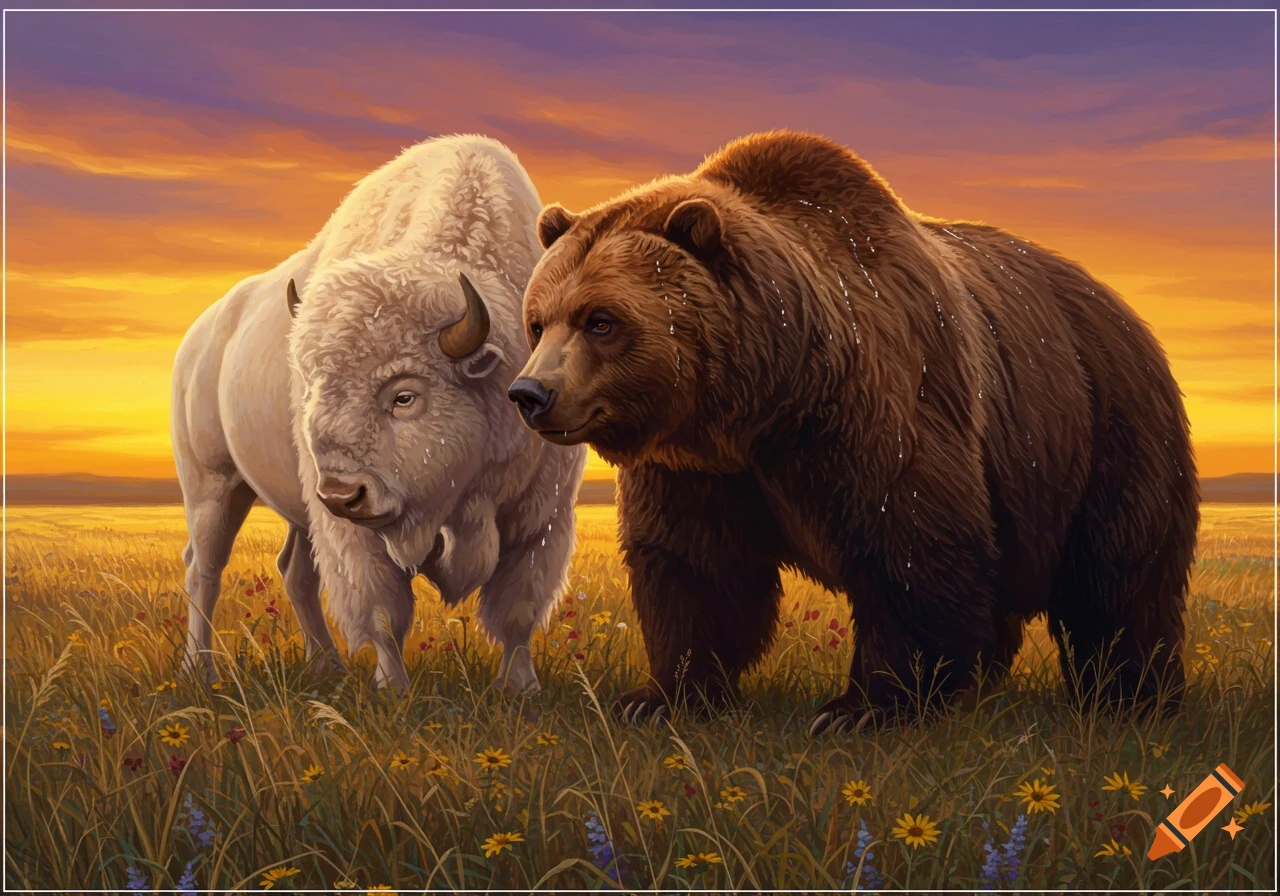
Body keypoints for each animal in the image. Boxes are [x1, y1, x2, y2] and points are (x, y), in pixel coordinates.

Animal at [508, 130, 1198, 733]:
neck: (764, 401)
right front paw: (659, 697)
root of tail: (1121, 306)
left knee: (1119, 580)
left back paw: (1129, 697)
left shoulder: (878, 405)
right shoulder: (698, 467)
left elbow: (912, 546)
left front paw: (861, 709)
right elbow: (696, 566)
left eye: (601, 320)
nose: (531, 393)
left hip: (1102, 425)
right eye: (538, 321)